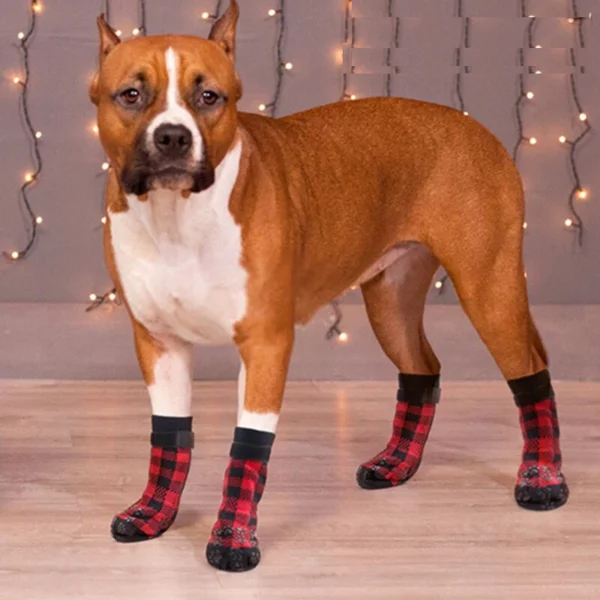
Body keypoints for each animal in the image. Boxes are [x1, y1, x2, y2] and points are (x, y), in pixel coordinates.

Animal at [89, 0, 568, 572]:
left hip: (489, 290)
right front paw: (155, 511)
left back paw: (543, 480)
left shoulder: (265, 345)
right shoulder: (159, 345)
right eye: (131, 95)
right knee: (422, 369)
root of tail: (476, 127)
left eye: (209, 97)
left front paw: (233, 539)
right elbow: (170, 434)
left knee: (531, 377)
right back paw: (396, 463)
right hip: (391, 304)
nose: (173, 137)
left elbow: (248, 447)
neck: (176, 217)